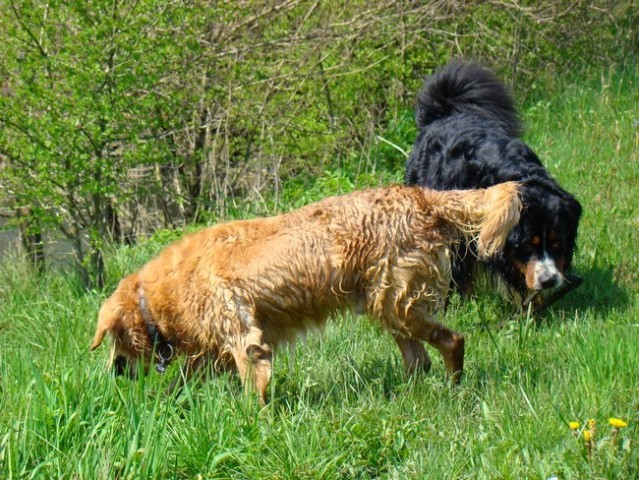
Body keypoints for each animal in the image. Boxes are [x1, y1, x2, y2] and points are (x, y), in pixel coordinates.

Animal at [90, 182, 520, 404]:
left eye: (110, 339)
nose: (114, 373)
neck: (161, 297)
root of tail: (421, 195)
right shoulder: (214, 351)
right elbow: (178, 384)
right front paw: (159, 408)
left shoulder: (246, 342)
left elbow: (253, 394)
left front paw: (255, 427)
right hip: (388, 305)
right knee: (418, 360)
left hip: (398, 304)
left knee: (452, 341)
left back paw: (453, 390)